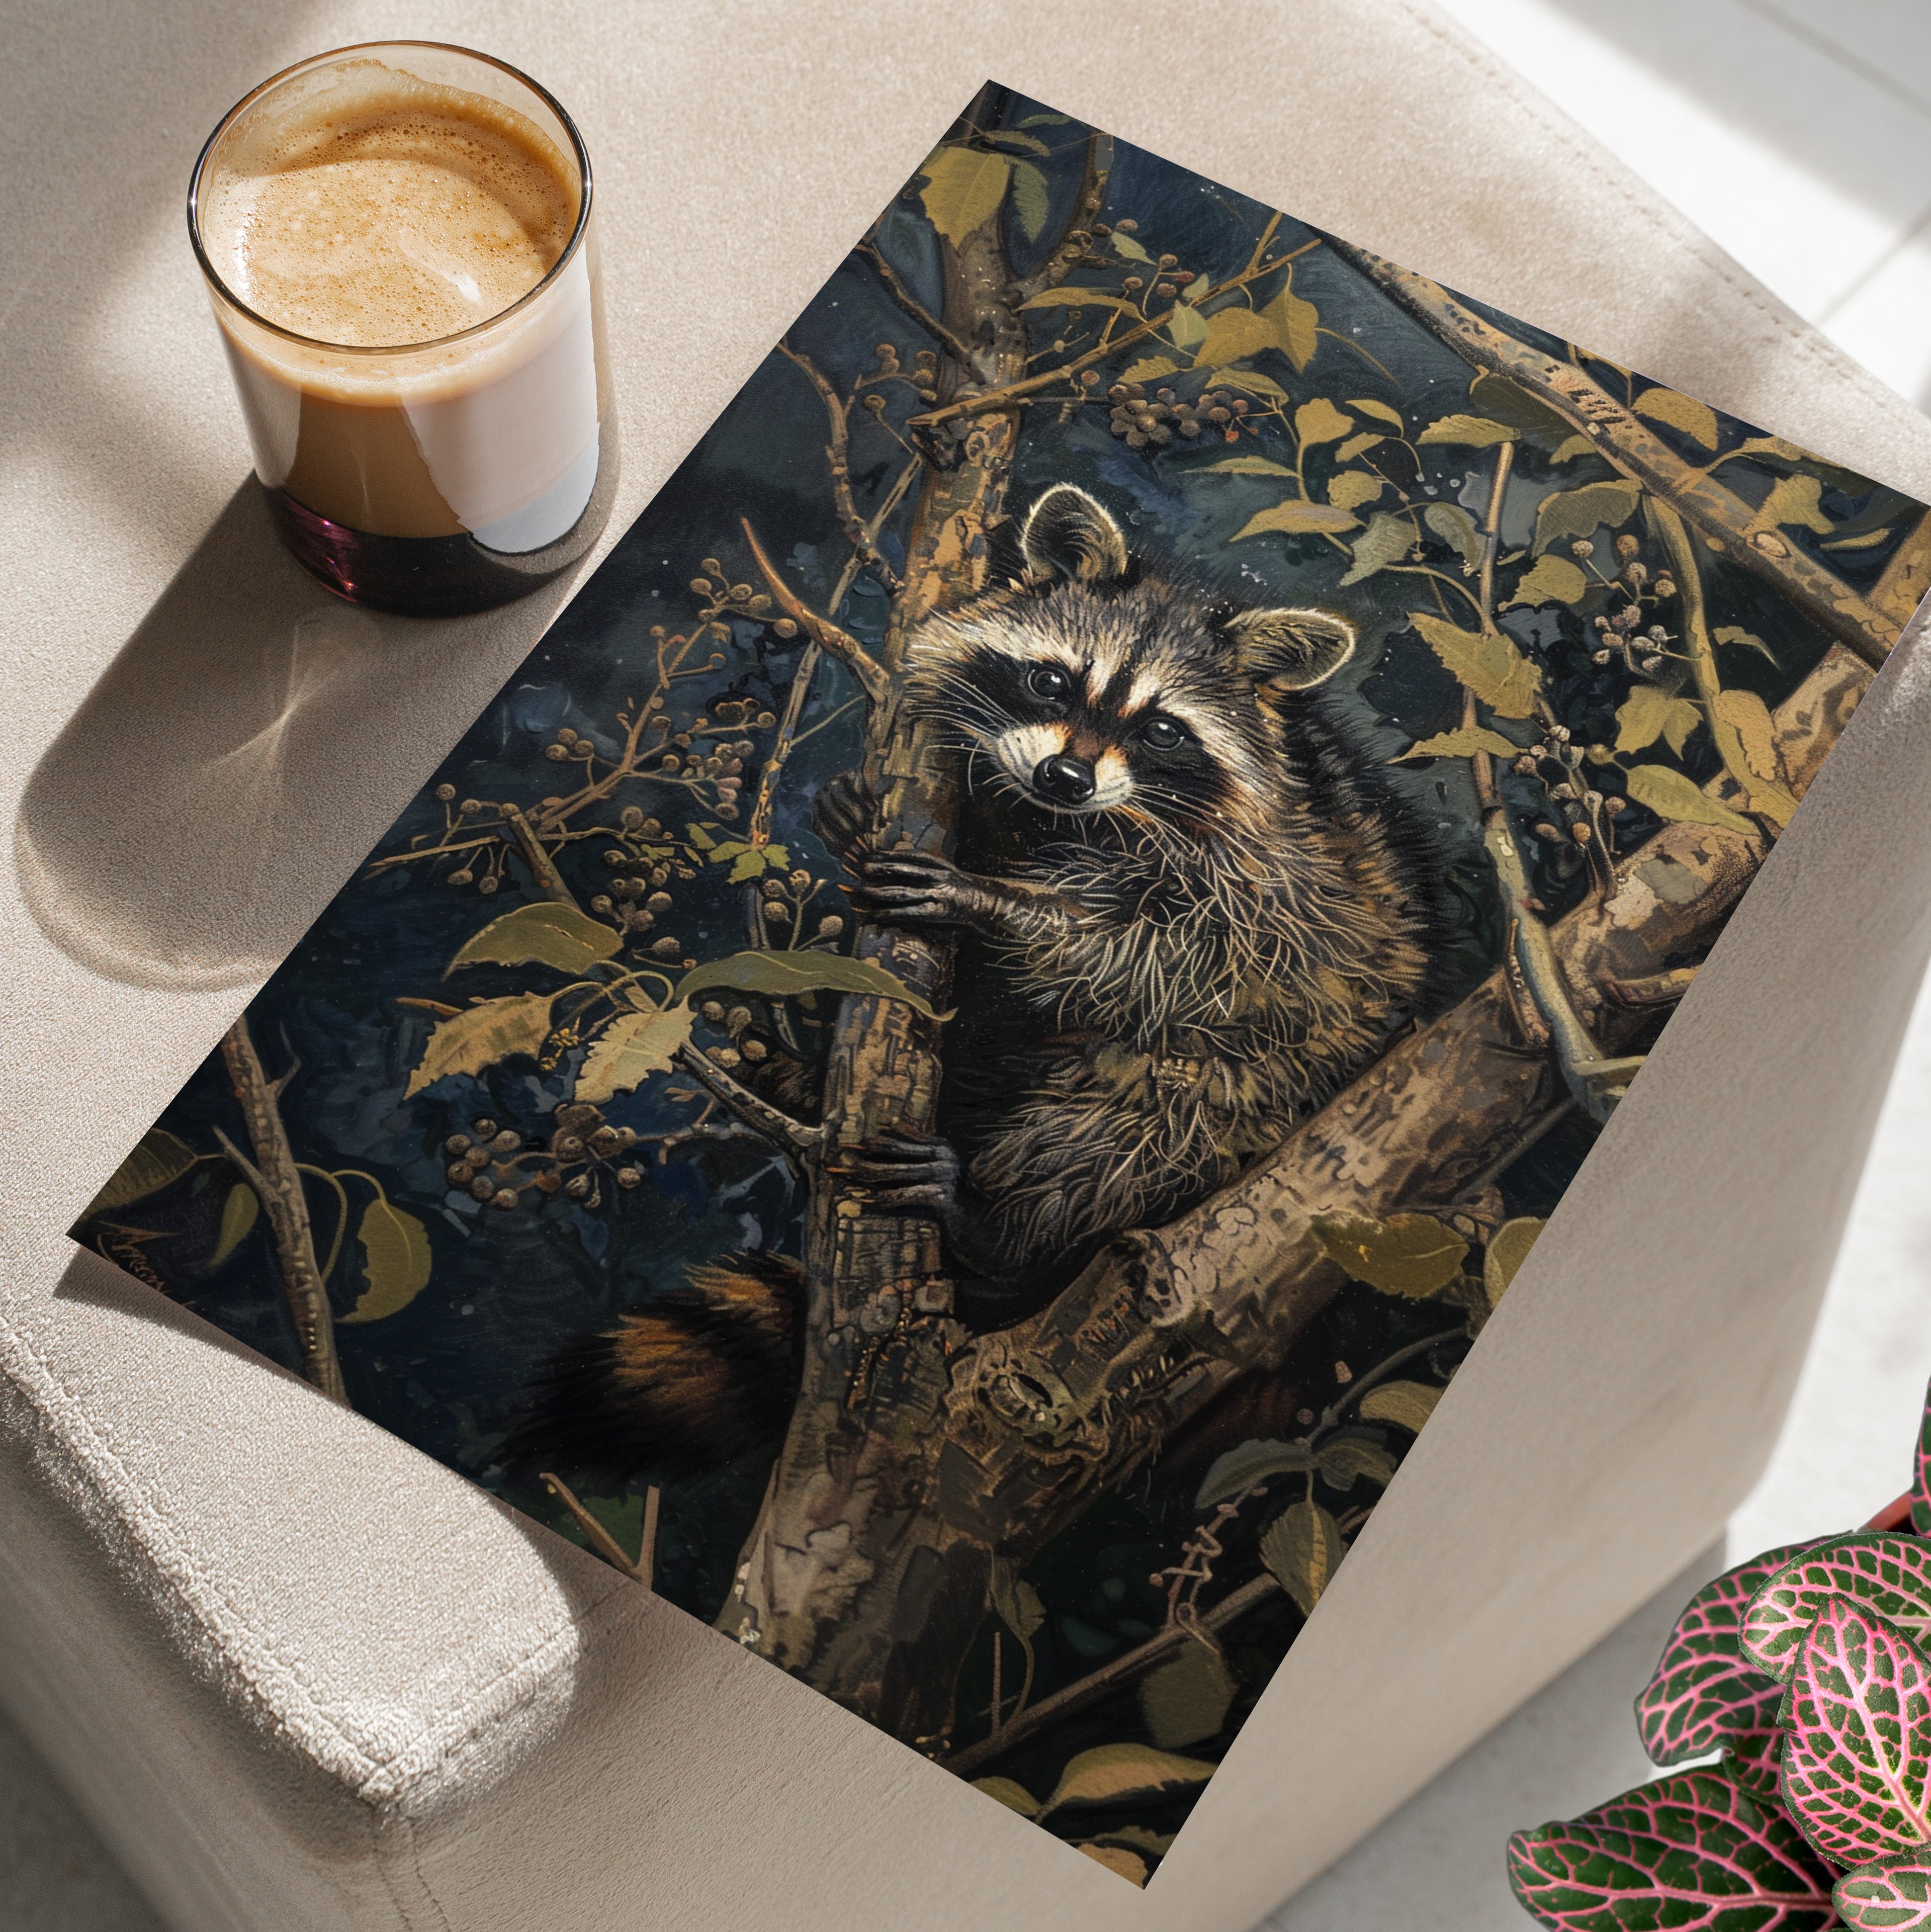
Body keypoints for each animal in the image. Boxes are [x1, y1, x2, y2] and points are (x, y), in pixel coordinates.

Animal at [508, 485, 1439, 1476]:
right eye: (1053, 681)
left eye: (1162, 728)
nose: (1065, 775)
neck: (1069, 824)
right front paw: (872, 826)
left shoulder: (1278, 891)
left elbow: (1165, 960)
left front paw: (999, 903)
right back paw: (809, 1079)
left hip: (1260, 1095)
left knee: (1132, 1123)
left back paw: (1000, 1230)